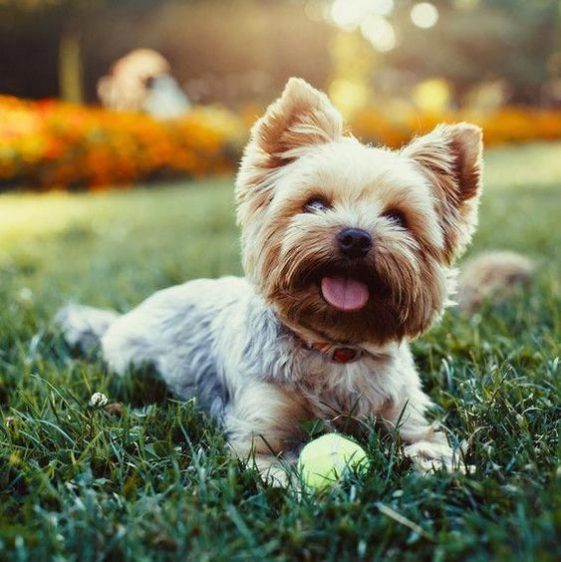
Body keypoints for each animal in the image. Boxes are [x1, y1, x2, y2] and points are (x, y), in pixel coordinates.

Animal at [57, 76, 484, 484]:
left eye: (398, 218)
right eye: (314, 203)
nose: (355, 237)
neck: (335, 348)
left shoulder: (405, 415)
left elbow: (426, 441)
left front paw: (442, 466)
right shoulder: (260, 432)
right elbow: (279, 469)